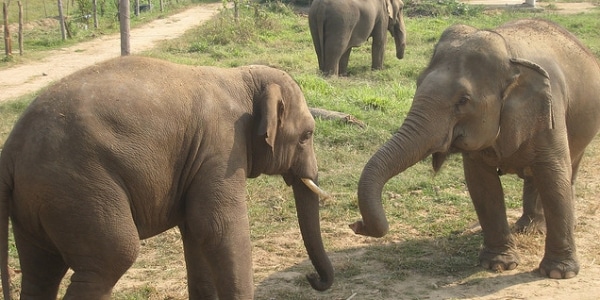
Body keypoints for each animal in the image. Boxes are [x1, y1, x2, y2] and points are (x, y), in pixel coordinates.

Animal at [0, 56, 332, 300]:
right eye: (307, 135)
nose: (312, 277)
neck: (241, 78)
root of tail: (10, 150)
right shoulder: (221, 148)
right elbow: (217, 228)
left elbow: (195, 231)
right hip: (77, 189)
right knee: (112, 258)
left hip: (38, 202)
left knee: (41, 272)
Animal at [346, 19, 600, 282]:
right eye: (417, 83)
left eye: (463, 100)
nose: (356, 224)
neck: (510, 56)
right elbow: (482, 184)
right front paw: (498, 265)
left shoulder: (550, 111)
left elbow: (553, 178)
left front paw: (558, 273)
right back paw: (528, 228)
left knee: (565, 172)